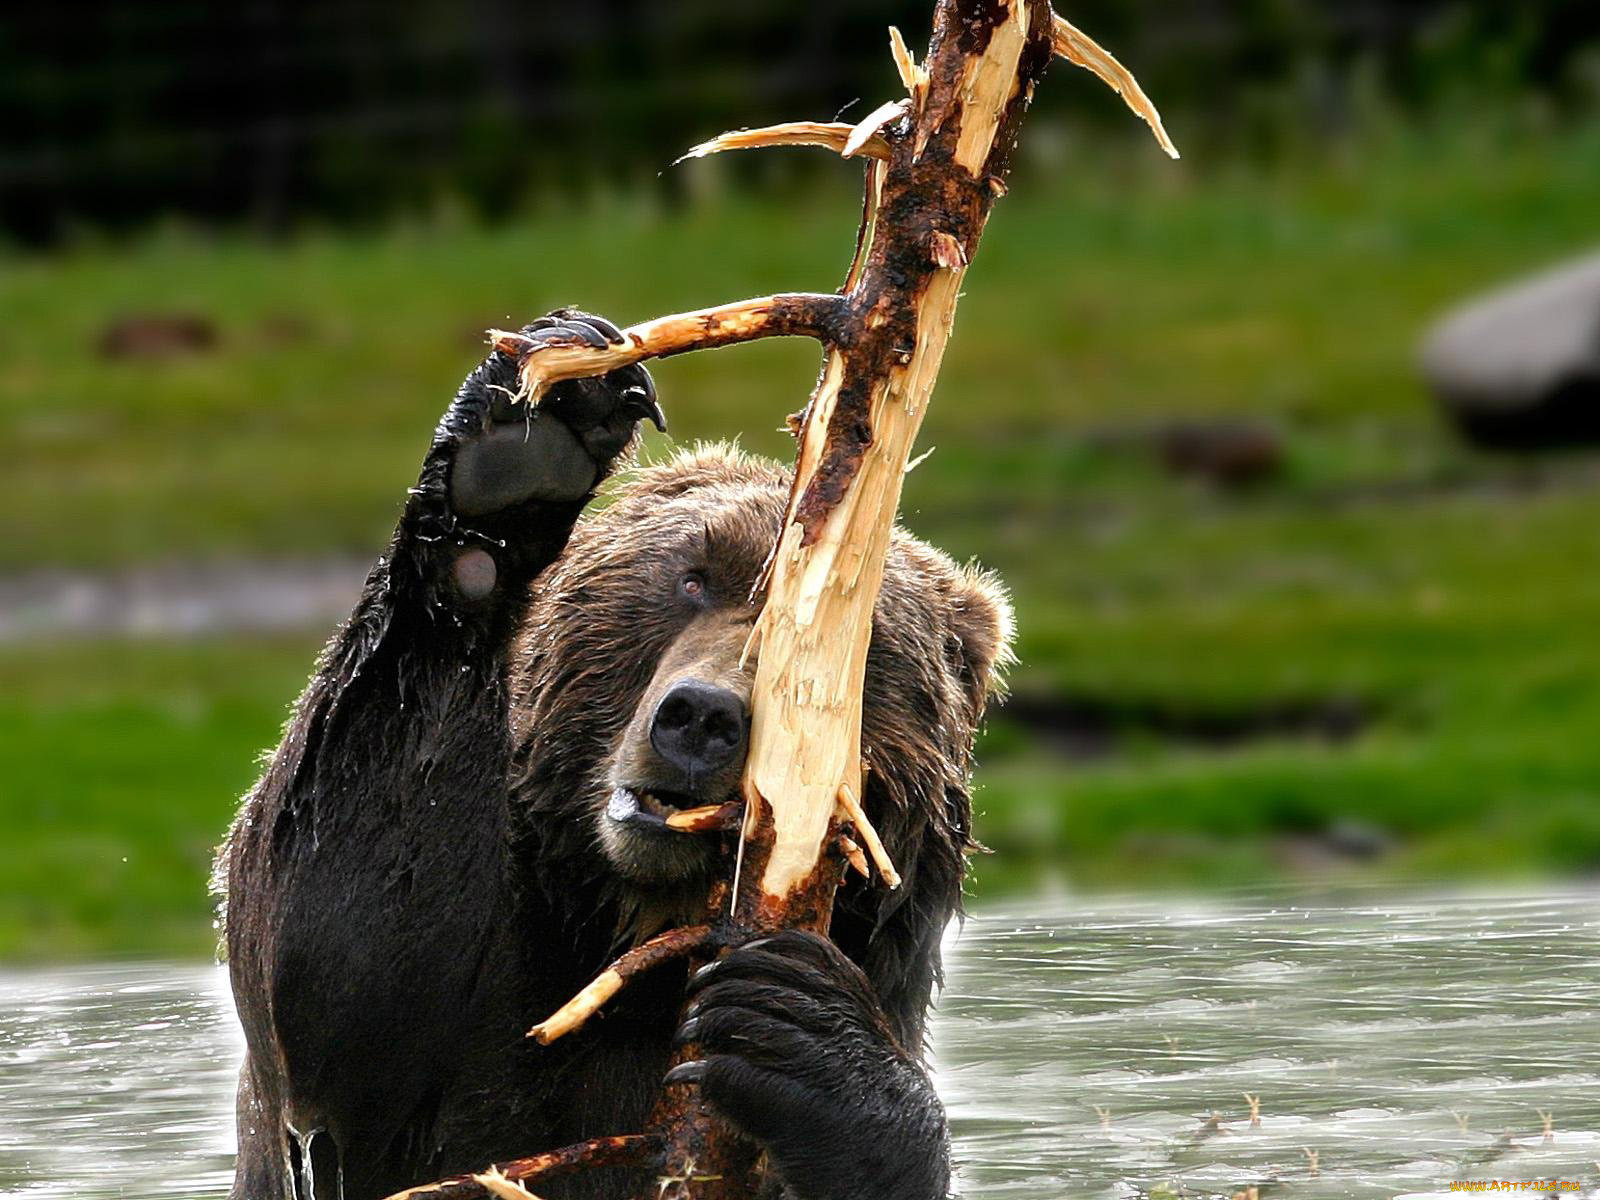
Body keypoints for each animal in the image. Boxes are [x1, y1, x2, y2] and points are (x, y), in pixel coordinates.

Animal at [216, 312, 1011, 1200]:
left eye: (857, 644)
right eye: (694, 578)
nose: (700, 717)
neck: (626, 939)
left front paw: (797, 1024)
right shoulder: (464, 1021)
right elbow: (338, 964)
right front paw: (517, 459)